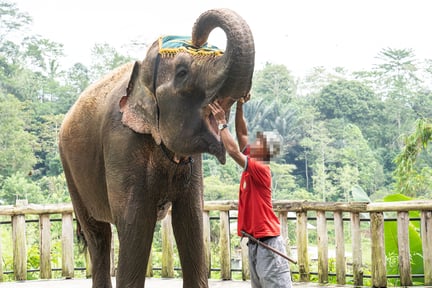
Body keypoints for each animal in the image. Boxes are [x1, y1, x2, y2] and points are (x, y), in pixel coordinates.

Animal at [59, 6, 255, 288]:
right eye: (182, 73)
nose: (198, 38)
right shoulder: (121, 142)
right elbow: (136, 224)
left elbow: (190, 221)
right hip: (71, 172)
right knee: (98, 234)